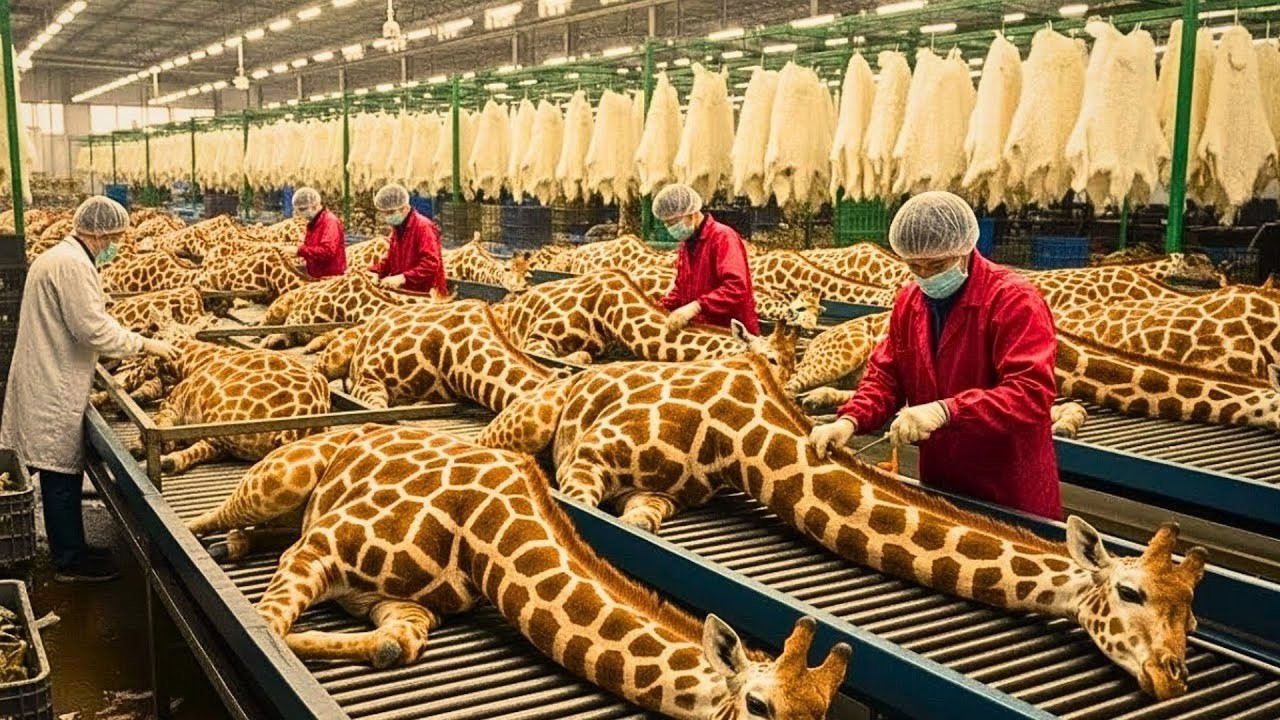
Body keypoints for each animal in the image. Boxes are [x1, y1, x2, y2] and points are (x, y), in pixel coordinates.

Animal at [185, 424, 851, 717]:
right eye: (760, 707)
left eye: (822, 718)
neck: (478, 530)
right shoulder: (320, 548)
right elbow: (267, 625)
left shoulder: (405, 607)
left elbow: (392, 648)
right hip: (283, 477)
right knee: (208, 518)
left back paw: (241, 544)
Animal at [475, 354, 1208, 700]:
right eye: (1132, 593)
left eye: (1195, 618)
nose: (1173, 677)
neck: (735, 437)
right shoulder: (590, 459)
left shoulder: (660, 496)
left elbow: (641, 525)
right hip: (526, 420)